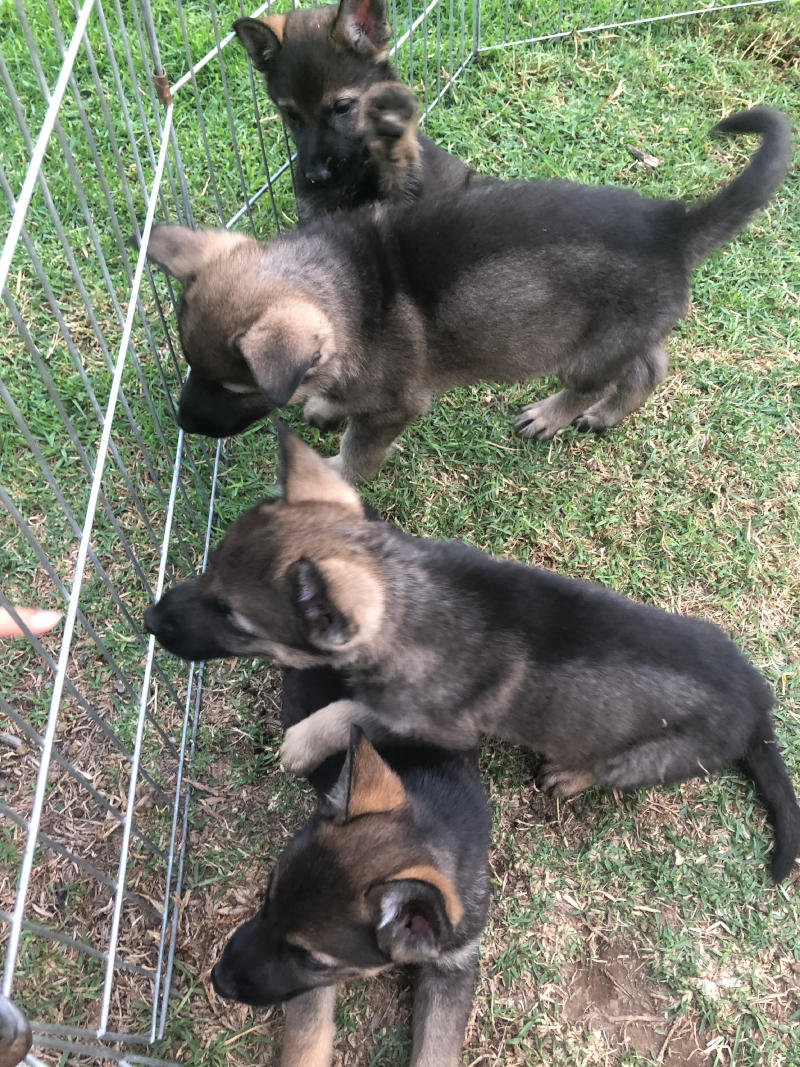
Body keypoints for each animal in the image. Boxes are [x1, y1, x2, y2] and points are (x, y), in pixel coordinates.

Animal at [146, 106, 797, 482]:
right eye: (190, 366)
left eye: (238, 388)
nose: (182, 422)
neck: (350, 289)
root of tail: (674, 226)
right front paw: (326, 407)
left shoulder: (395, 409)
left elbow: (360, 453)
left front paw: (336, 466)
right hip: (620, 332)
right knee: (649, 365)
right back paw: (607, 416)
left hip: (585, 348)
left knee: (597, 380)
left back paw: (553, 416)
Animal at [146, 424, 800, 883]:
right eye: (210, 569)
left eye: (234, 617)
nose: (150, 620)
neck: (410, 597)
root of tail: (757, 705)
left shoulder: (430, 723)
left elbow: (348, 714)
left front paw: (302, 741)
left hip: (646, 758)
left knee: (608, 769)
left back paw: (569, 774)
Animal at [210, 665, 492, 1067]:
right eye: (266, 900)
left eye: (310, 959)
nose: (217, 979)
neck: (438, 821)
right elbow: (306, 1039)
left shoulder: (453, 965)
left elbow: (436, 1049)